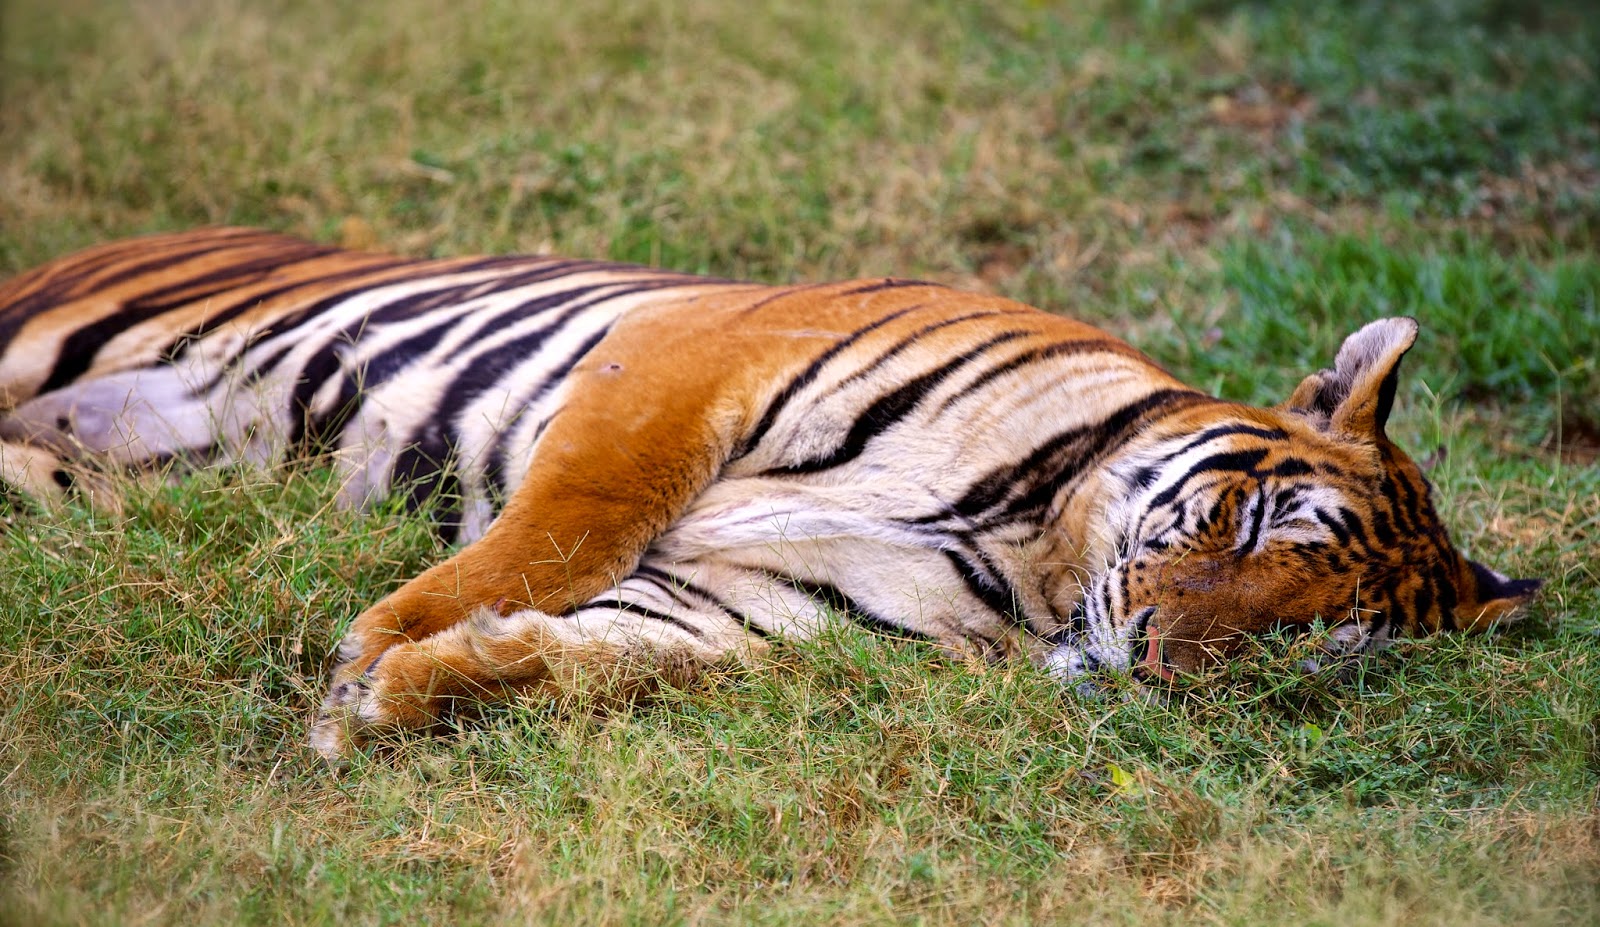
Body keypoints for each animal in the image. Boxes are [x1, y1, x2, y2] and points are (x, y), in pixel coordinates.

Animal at [0, 227, 1536, 762]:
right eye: (1253, 522)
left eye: (1302, 641)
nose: (1160, 661)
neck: (1038, 551)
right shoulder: (688, 361)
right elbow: (553, 535)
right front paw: (372, 659)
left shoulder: (755, 609)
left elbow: (597, 656)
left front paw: (408, 691)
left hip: (74, 482)